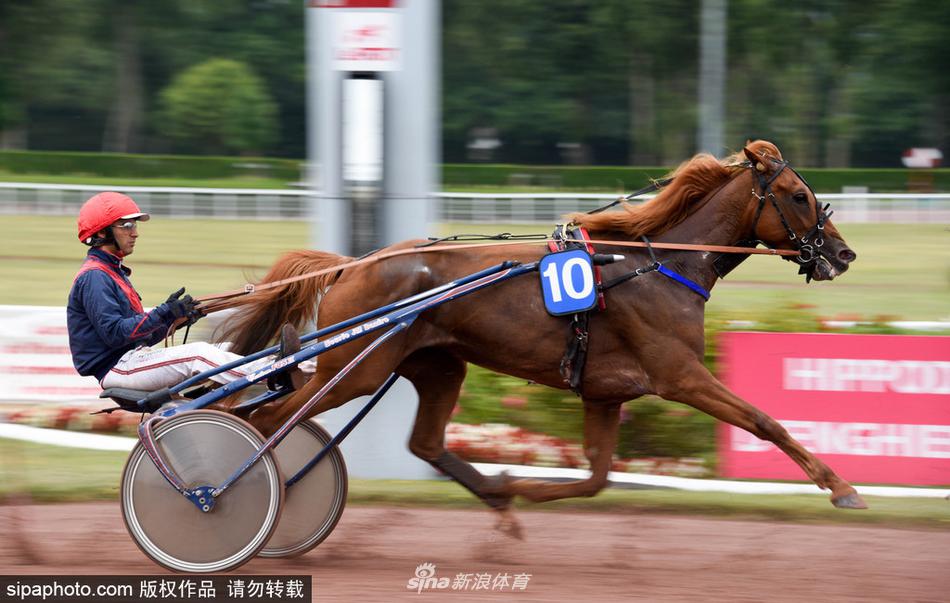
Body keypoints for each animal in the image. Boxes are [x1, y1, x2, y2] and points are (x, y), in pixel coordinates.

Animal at [216, 140, 872, 524]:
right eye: (798, 195)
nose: (843, 254)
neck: (661, 264)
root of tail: (352, 264)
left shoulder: (606, 393)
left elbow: (597, 479)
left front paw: (519, 487)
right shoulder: (680, 375)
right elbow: (764, 421)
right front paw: (841, 486)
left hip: (437, 364)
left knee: (424, 443)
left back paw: (495, 496)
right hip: (354, 368)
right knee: (268, 420)